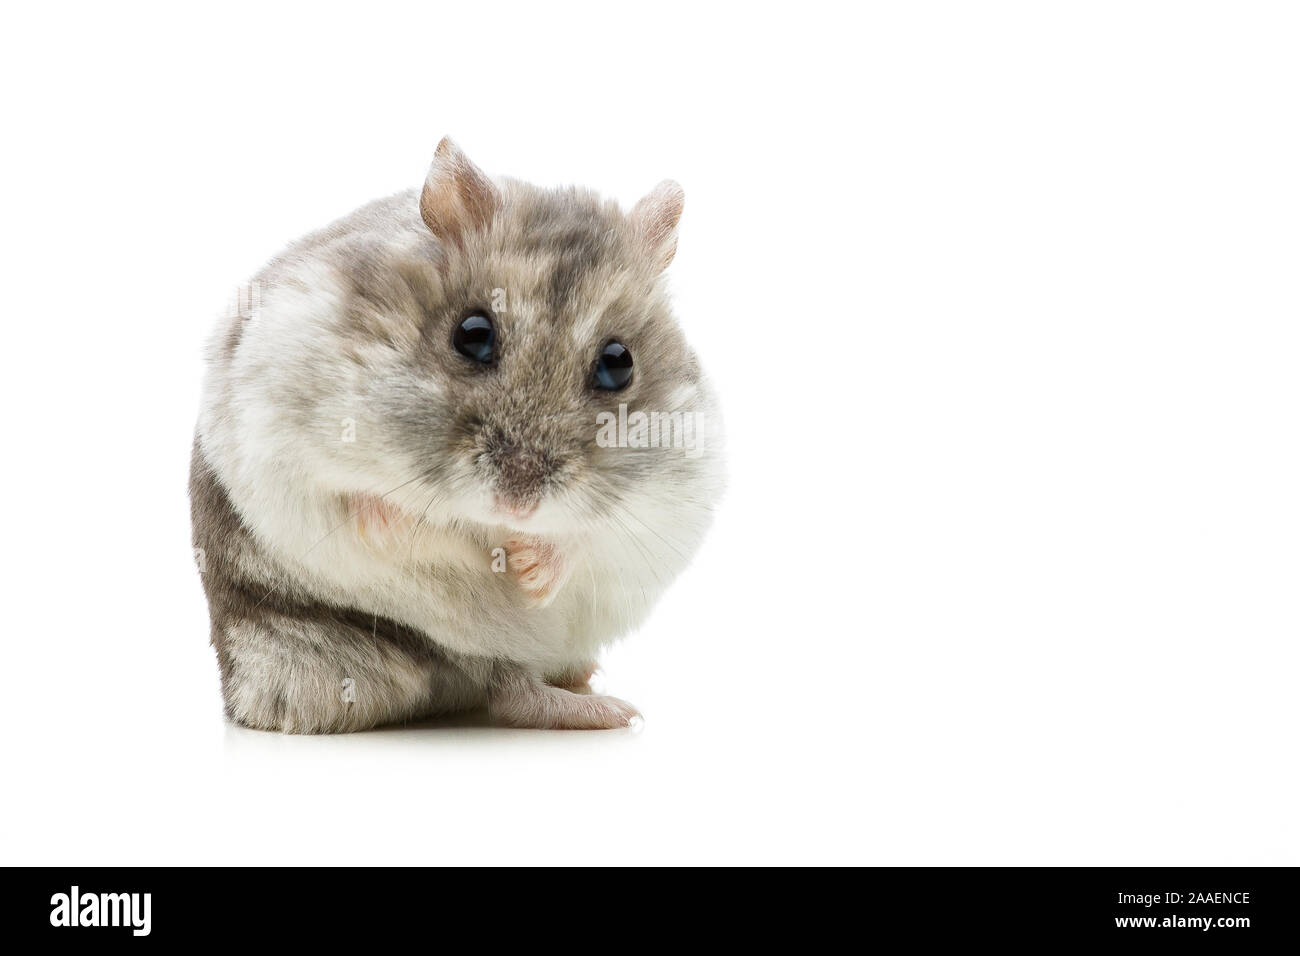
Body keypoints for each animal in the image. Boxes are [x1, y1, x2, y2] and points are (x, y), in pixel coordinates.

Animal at [189, 138, 728, 733]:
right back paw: (604, 709)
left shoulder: (670, 500)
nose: (517, 507)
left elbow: (588, 537)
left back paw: (590, 686)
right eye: (472, 335)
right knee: (508, 689)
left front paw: (528, 570)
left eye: (619, 363)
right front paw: (424, 530)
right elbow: (364, 507)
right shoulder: (279, 446)